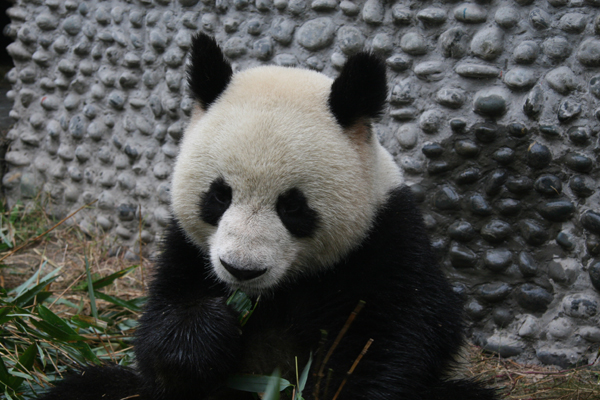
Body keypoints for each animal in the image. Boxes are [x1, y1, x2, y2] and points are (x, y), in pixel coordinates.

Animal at [42, 33, 500, 400]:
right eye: (220, 195)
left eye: (292, 206)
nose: (241, 269)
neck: (280, 289)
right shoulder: (187, 249)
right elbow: (162, 337)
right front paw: (206, 334)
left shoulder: (387, 243)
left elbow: (393, 339)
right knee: (90, 387)